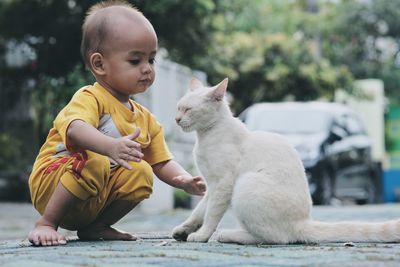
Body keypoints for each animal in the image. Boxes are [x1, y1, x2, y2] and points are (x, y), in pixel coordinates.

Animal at [172, 77, 400, 245]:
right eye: (178, 107)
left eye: (188, 109)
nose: (176, 119)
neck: (206, 135)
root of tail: (303, 222)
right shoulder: (211, 186)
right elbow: (199, 212)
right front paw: (184, 230)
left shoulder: (222, 185)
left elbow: (211, 215)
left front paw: (202, 235)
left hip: (246, 185)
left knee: (277, 238)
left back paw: (229, 235)